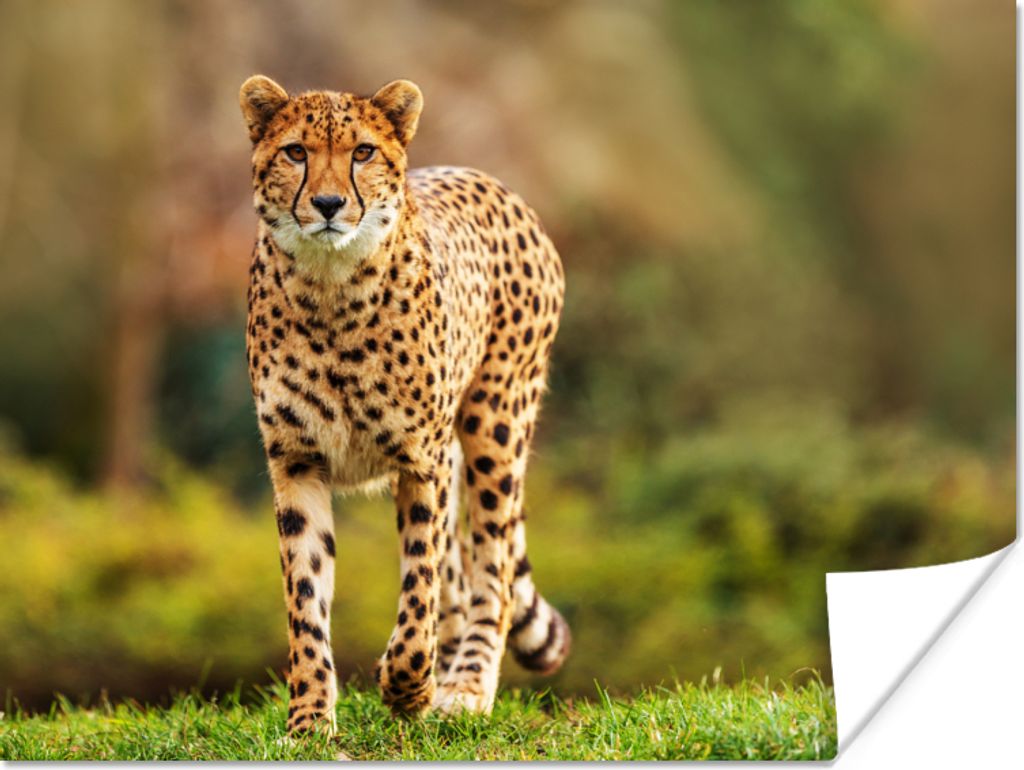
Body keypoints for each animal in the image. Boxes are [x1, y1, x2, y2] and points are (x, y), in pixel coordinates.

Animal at [238, 75, 570, 735]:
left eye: (363, 152)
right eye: (296, 152)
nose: (328, 204)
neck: (330, 287)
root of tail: (492, 182)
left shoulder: (423, 460)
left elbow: (419, 586)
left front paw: (406, 686)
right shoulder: (296, 461)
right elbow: (305, 597)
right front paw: (309, 719)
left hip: (495, 424)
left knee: (490, 571)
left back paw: (465, 686)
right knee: (462, 576)